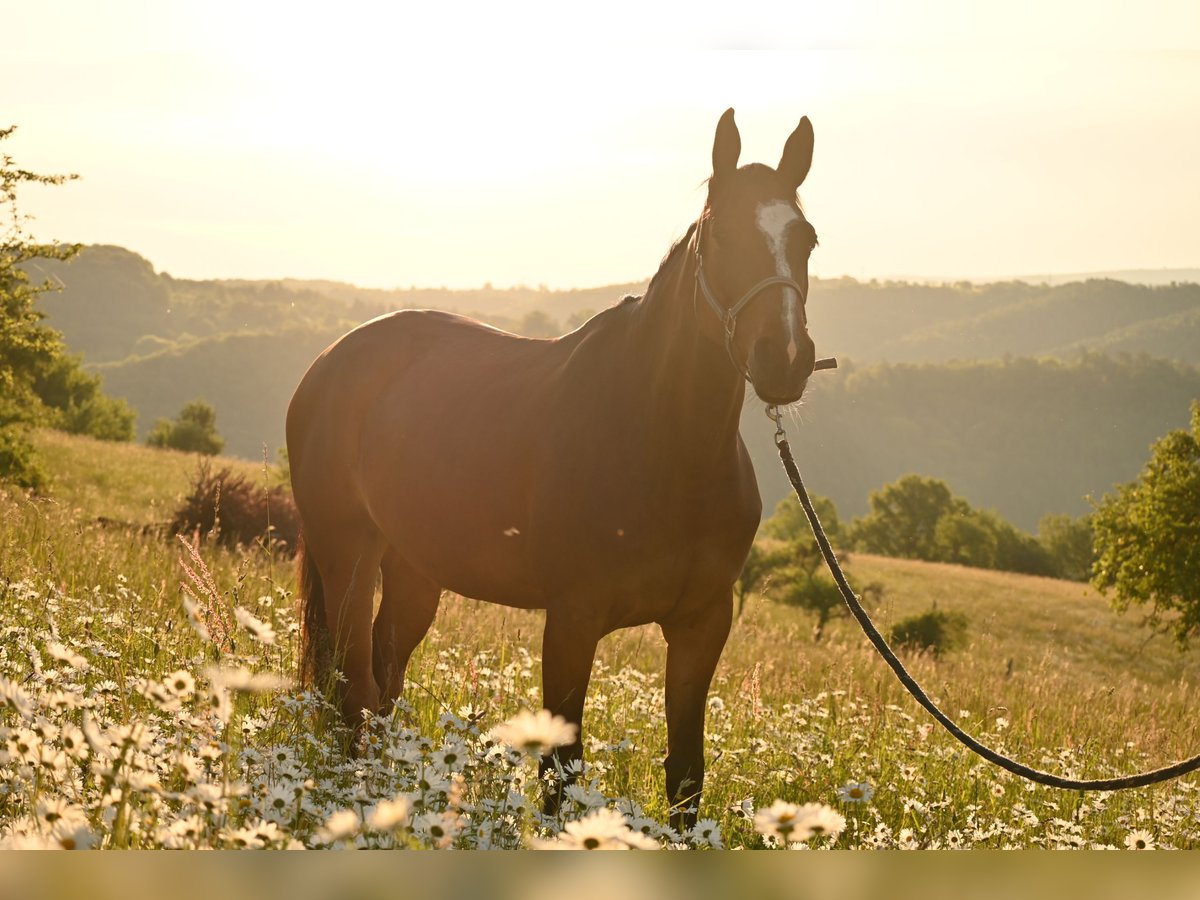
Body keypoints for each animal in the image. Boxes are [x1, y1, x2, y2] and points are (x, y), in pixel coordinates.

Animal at [285, 107, 820, 830]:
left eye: (807, 241)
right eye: (723, 234)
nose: (783, 359)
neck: (668, 452)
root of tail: (331, 360)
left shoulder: (702, 624)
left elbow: (686, 777)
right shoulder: (572, 620)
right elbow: (562, 776)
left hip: (413, 569)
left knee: (384, 674)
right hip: (348, 555)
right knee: (356, 686)